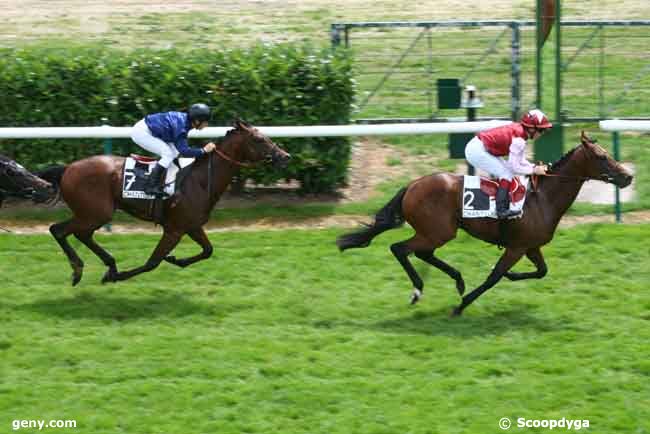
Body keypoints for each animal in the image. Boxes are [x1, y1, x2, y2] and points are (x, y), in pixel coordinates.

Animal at [41, 120, 290, 286]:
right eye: (259, 139)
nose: (285, 156)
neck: (200, 180)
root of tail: (67, 168)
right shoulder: (174, 229)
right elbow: (152, 262)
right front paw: (117, 276)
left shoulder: (192, 225)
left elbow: (208, 250)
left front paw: (176, 259)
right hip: (96, 213)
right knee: (58, 229)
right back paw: (80, 270)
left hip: (93, 214)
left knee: (81, 234)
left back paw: (106, 264)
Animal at [336, 131, 632, 316]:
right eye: (602, 157)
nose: (628, 176)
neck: (543, 198)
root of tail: (412, 185)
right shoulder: (516, 247)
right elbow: (494, 277)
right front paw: (461, 306)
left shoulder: (530, 246)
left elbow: (541, 271)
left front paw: (510, 276)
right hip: (438, 231)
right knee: (400, 248)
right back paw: (419, 290)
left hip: (438, 232)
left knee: (421, 253)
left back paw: (457, 280)